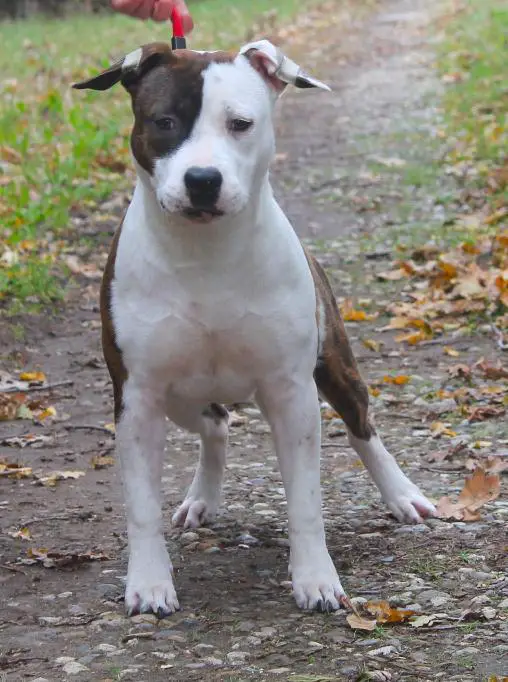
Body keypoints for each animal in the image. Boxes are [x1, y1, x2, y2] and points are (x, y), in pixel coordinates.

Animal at [73, 39, 434, 620]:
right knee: (216, 423)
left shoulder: (292, 393)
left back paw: (402, 495)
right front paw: (149, 582)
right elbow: (141, 506)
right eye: (164, 121)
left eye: (240, 124)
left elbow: (306, 500)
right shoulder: (137, 398)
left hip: (334, 364)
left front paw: (315, 579)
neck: (207, 253)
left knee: (363, 428)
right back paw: (202, 498)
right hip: (177, 398)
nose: (203, 180)